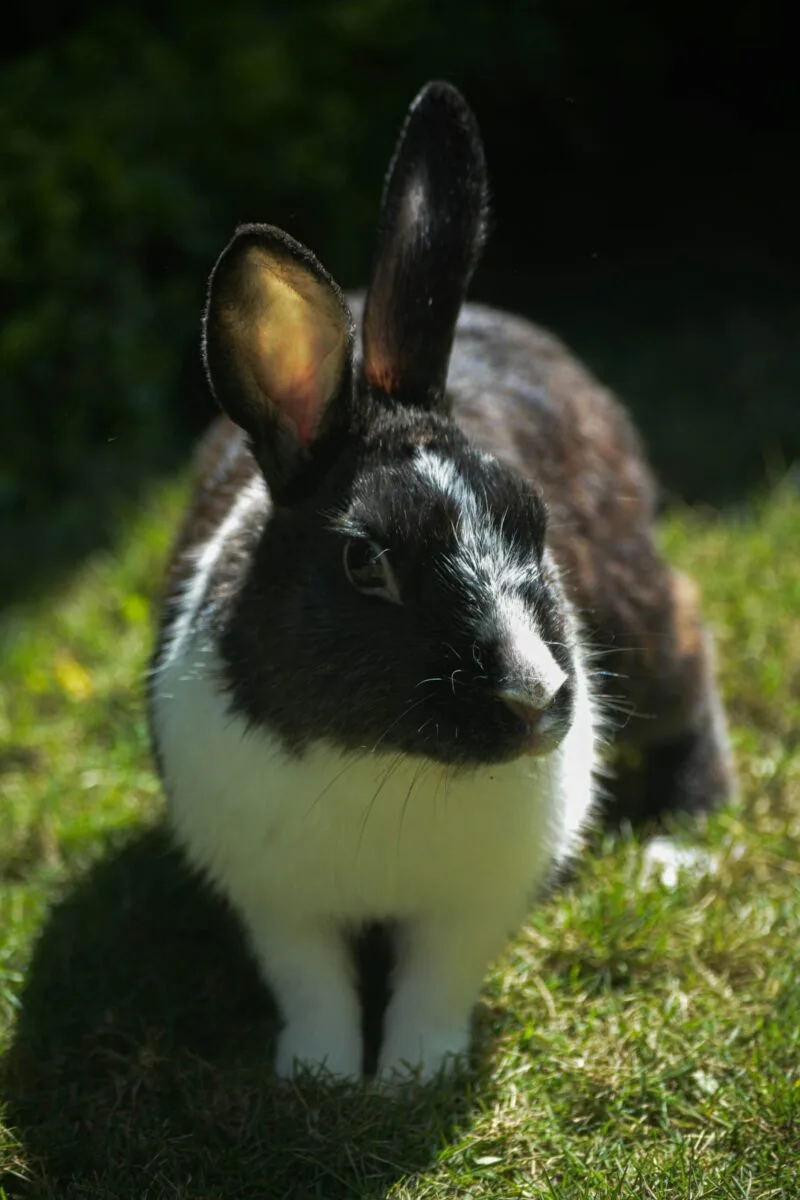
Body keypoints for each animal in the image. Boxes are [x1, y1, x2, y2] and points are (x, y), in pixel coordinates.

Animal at [148, 81, 733, 1084]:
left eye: (535, 521)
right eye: (364, 560)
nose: (535, 697)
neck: (391, 761)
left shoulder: (471, 908)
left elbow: (435, 982)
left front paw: (411, 1077)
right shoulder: (279, 906)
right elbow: (312, 984)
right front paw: (321, 1075)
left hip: (643, 619)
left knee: (691, 658)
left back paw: (676, 840)